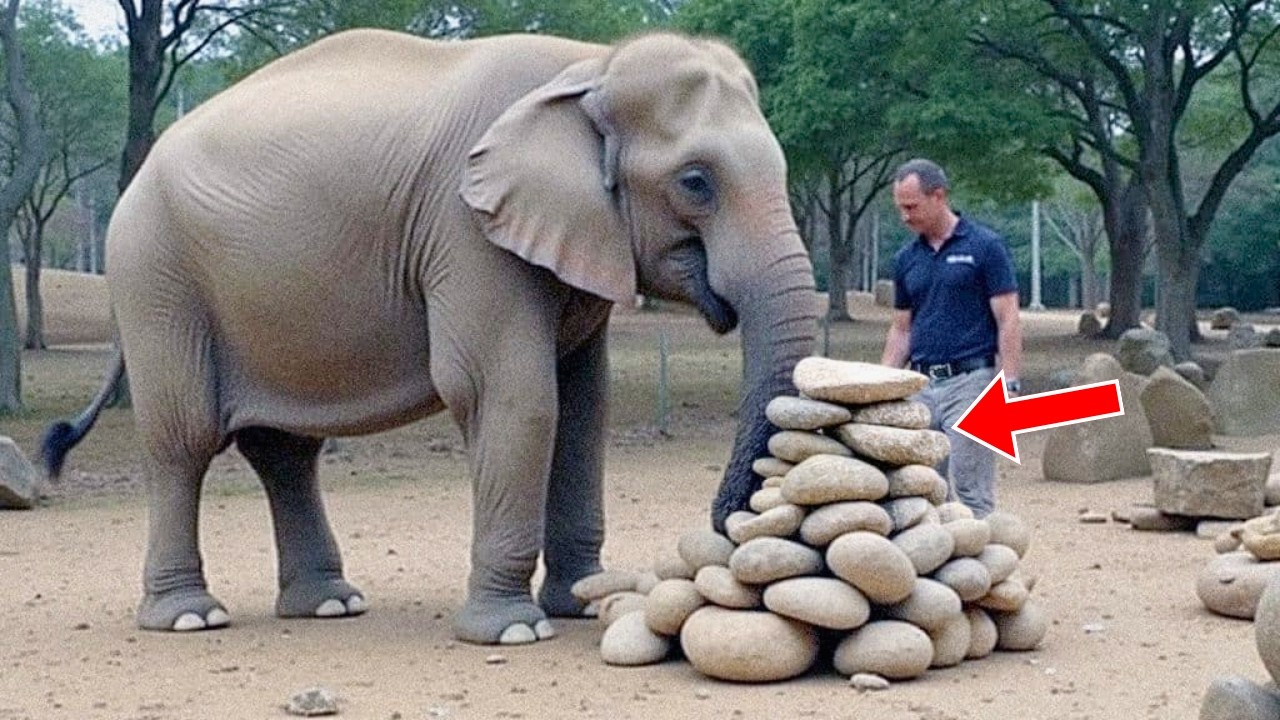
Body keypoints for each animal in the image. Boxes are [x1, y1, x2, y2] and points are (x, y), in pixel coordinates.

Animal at [43, 29, 817, 645]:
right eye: (696, 181)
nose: (725, 535)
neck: (591, 63)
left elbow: (582, 409)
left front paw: (580, 606)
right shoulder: (464, 229)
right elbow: (514, 397)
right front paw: (514, 631)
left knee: (285, 449)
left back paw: (329, 605)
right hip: (156, 278)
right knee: (184, 439)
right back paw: (191, 618)